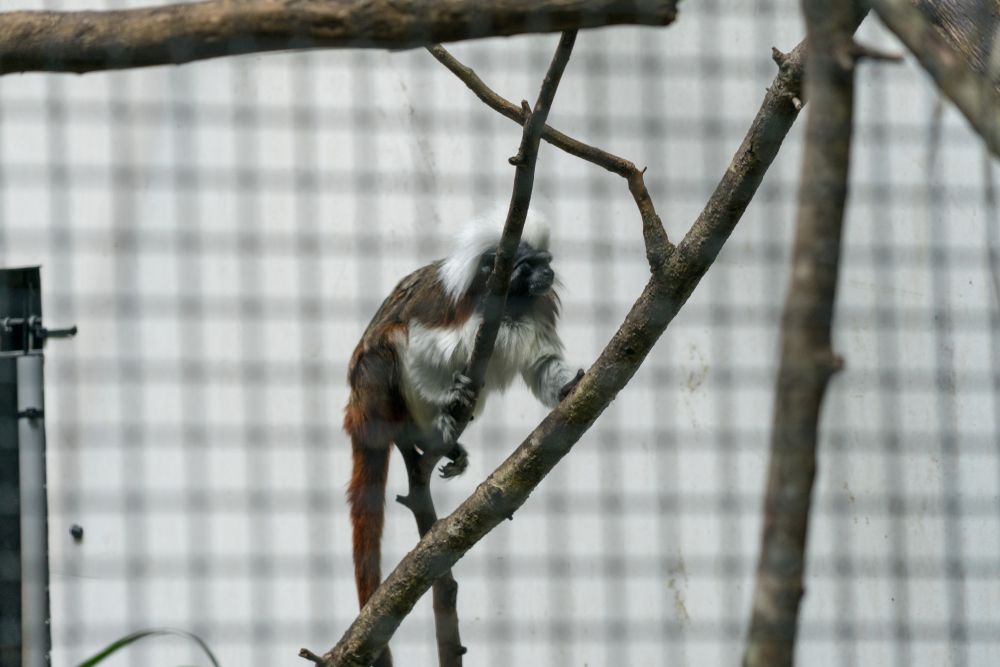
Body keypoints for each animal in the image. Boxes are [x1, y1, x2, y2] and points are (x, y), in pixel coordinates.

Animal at [343, 210, 583, 666]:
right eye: (527, 265)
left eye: (546, 262)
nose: (548, 273)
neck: (507, 305)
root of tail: (358, 408)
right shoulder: (450, 316)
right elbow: (414, 342)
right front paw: (446, 400)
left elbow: (542, 363)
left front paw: (567, 385)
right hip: (375, 387)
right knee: (389, 340)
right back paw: (432, 429)